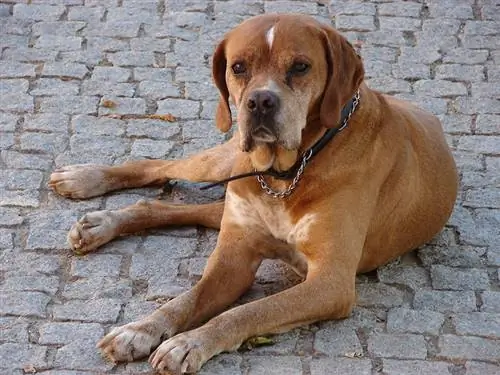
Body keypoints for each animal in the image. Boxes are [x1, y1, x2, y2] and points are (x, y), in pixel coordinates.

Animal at [49, 13, 458, 374]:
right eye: (239, 67)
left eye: (300, 67)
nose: (260, 101)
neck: (286, 173)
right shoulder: (234, 259)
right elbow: (186, 300)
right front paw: (140, 329)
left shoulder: (330, 283)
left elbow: (244, 312)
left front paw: (189, 343)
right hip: (225, 163)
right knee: (159, 168)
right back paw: (88, 182)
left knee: (171, 206)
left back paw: (101, 221)